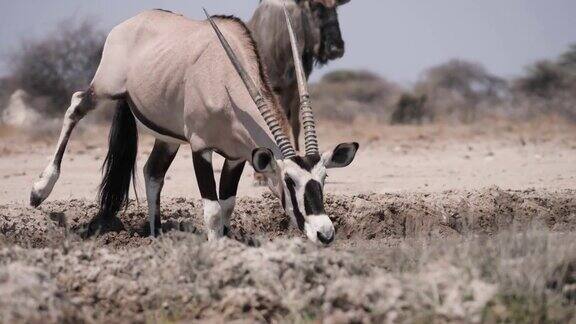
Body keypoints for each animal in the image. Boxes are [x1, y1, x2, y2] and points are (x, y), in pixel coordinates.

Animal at [249, 0, 352, 152]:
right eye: (315, 8)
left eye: (335, 9)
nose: (336, 48)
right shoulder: (276, 90)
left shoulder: (295, 91)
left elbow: (295, 124)